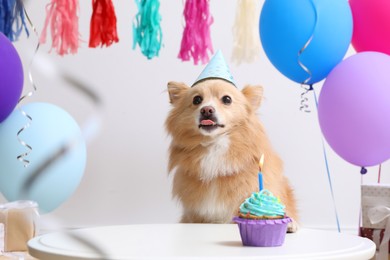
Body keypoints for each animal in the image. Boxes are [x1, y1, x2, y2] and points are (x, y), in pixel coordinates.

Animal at [165, 77, 298, 232]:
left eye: (227, 99)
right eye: (197, 100)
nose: (206, 109)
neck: (215, 145)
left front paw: (290, 223)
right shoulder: (195, 216)